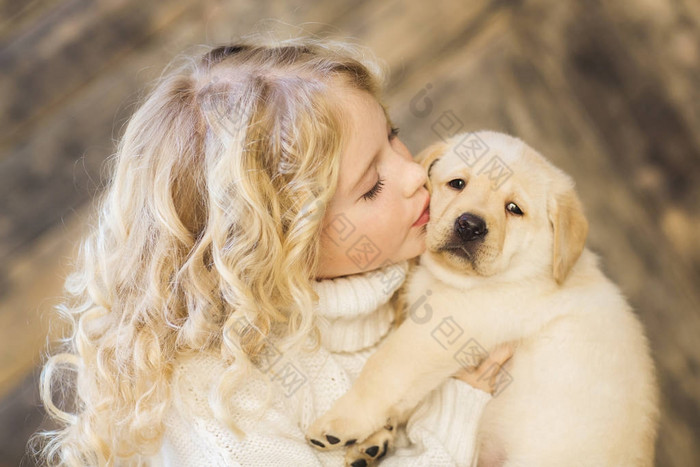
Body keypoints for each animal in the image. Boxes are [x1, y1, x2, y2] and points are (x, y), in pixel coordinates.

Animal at [304, 131, 656, 467]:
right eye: (457, 184)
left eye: (514, 209)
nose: (469, 225)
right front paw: (377, 437)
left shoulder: (437, 331)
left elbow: (384, 368)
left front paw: (341, 423)